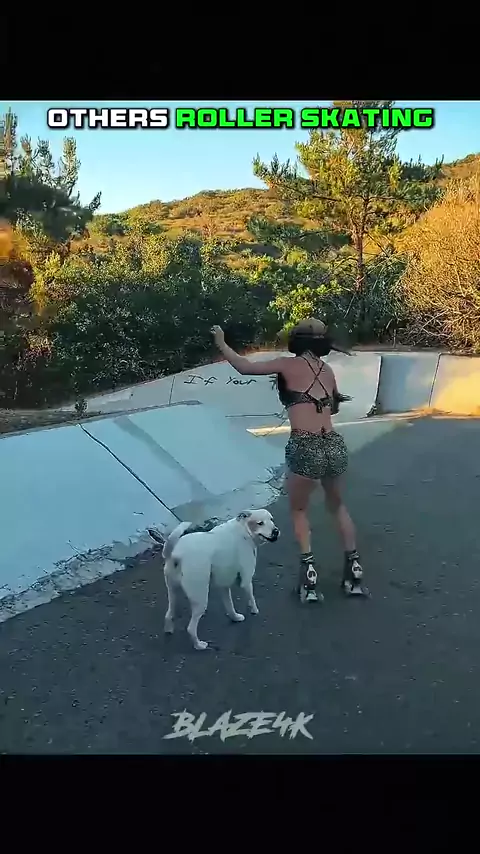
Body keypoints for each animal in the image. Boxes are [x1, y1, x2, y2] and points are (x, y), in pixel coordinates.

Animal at [161, 510, 280, 650]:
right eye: (260, 523)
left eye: (271, 519)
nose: (276, 531)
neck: (243, 529)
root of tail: (176, 554)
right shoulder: (246, 580)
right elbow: (251, 597)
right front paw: (254, 610)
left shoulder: (224, 584)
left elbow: (229, 605)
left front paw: (235, 617)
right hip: (200, 598)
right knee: (191, 628)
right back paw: (199, 645)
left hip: (172, 593)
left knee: (169, 614)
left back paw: (169, 630)